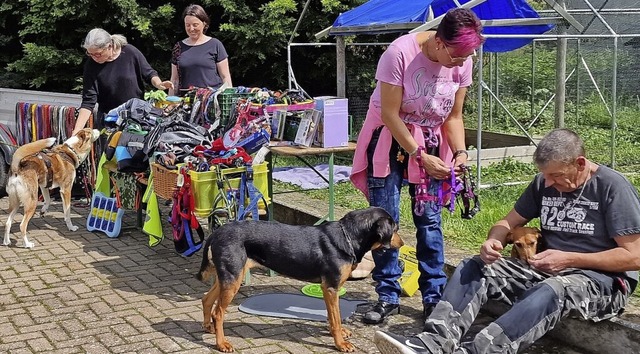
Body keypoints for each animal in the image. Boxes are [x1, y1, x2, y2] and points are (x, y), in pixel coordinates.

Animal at [196, 206, 404, 352]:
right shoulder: (331, 287)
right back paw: (221, 343)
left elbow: (332, 316)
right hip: (233, 279)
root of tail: (217, 232)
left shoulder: (329, 290)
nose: (402, 244)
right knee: (218, 313)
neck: (348, 237)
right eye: (395, 228)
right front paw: (340, 343)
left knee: (206, 299)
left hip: (228, 278)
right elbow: (336, 319)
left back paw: (208, 327)